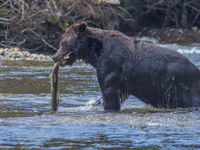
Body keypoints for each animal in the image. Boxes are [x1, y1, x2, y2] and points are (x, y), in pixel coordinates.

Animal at [52, 22, 200, 111]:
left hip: (183, 87)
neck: (96, 53)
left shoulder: (111, 66)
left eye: (63, 42)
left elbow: (109, 94)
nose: (54, 56)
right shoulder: (123, 82)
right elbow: (117, 94)